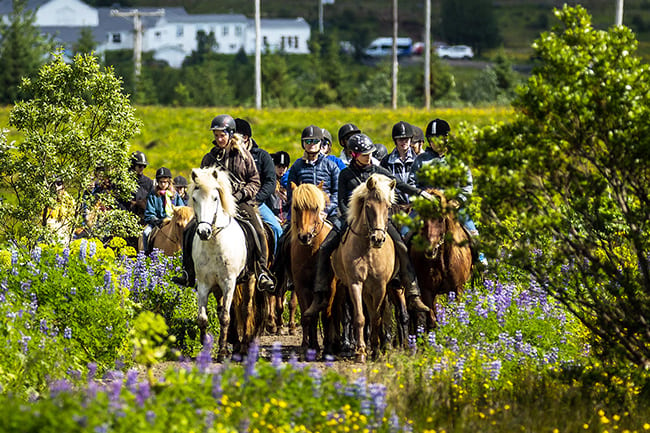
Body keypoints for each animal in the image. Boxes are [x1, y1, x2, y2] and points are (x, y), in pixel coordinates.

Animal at [187, 169, 258, 362]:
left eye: (215, 198)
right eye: (194, 198)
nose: (204, 232)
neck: (214, 243)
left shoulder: (228, 283)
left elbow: (226, 317)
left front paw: (222, 352)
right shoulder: (204, 284)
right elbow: (202, 318)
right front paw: (205, 348)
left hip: (249, 280)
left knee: (246, 309)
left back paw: (244, 347)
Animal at [332, 172, 398, 362]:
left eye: (388, 207)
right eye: (368, 207)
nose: (378, 239)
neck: (368, 251)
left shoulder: (379, 287)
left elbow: (376, 317)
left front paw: (375, 350)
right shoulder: (355, 283)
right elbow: (360, 317)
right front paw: (360, 351)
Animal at [410, 187, 470, 330]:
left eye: (441, 219)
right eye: (422, 218)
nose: (429, 249)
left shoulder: (458, 288)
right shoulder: (427, 290)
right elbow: (432, 321)